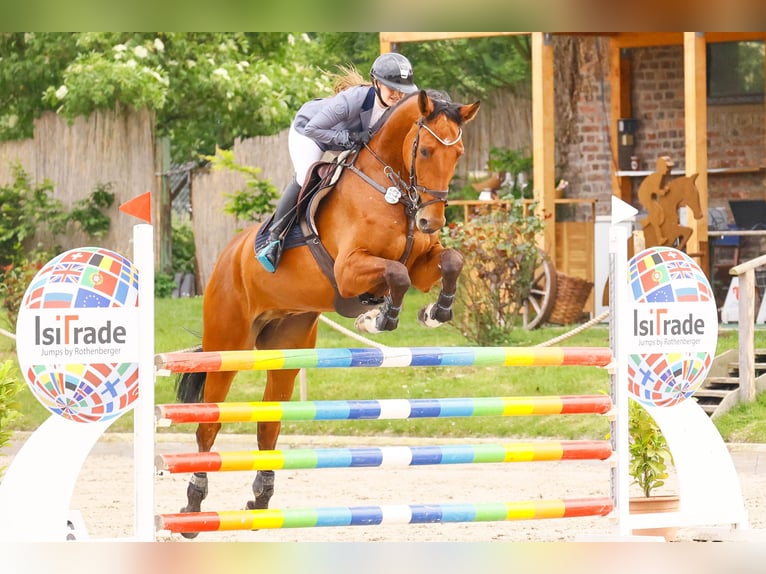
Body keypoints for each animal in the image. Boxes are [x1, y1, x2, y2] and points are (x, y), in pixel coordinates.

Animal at [177, 90, 484, 540]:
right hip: (228, 346)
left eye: (458, 153)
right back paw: (193, 507)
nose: (431, 219)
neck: (391, 189)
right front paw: (379, 318)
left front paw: (435, 311)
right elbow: (396, 274)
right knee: (208, 425)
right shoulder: (350, 269)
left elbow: (451, 261)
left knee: (268, 423)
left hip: (286, 349)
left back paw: (261, 501)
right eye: (425, 150)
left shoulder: (423, 262)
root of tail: (226, 257)